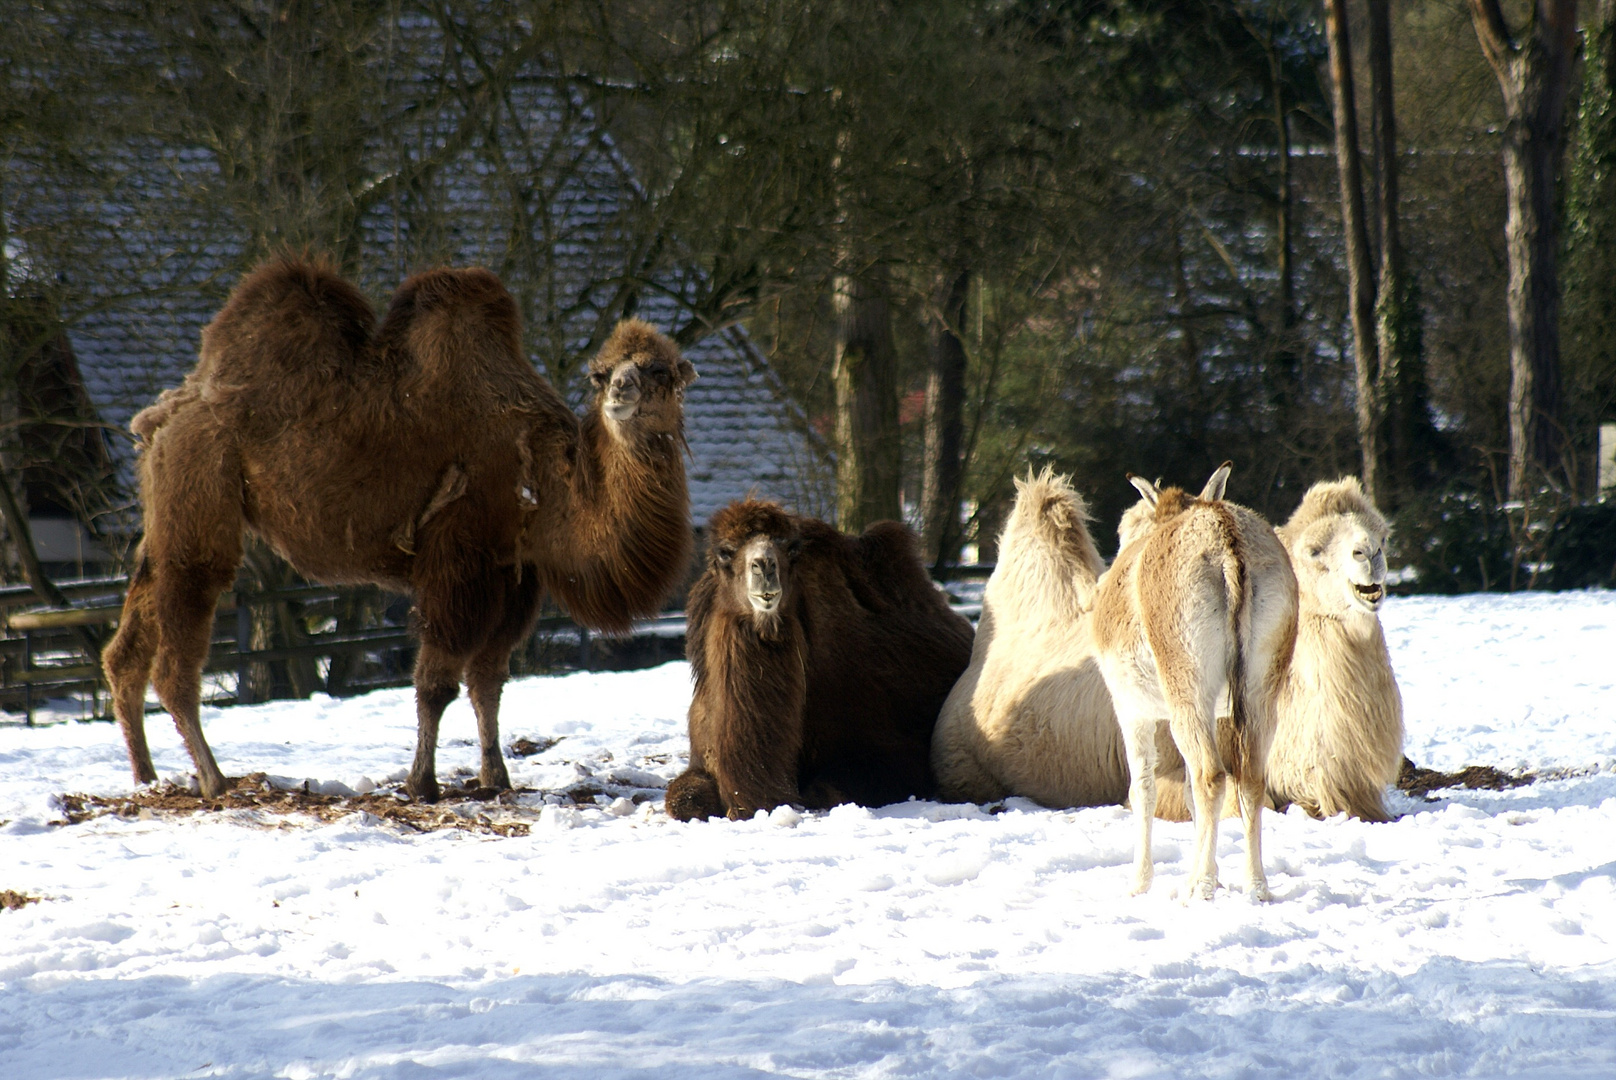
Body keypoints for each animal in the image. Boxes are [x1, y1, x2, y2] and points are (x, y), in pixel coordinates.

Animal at [104, 255, 698, 801]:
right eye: (602, 373)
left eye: (660, 370)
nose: (620, 393)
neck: (546, 478)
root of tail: (164, 415)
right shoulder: (457, 559)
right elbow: (435, 684)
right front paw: (423, 783)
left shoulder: (511, 574)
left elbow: (489, 682)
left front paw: (496, 778)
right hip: (201, 480)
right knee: (180, 639)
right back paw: (213, 779)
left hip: (168, 508)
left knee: (128, 643)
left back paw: (146, 777)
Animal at [659, 497, 963, 818]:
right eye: (725, 552)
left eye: (792, 549)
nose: (764, 565)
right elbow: (682, 798)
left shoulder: (896, 751)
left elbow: (825, 789)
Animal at [1085, 459, 1299, 898]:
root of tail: (1225, 537)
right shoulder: (1218, 714)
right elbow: (1185, 793)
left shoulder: (1131, 710)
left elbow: (1143, 789)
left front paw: (1139, 884)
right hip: (1262, 689)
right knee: (1249, 778)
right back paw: (1256, 887)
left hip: (1188, 691)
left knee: (1211, 776)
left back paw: (1196, 888)